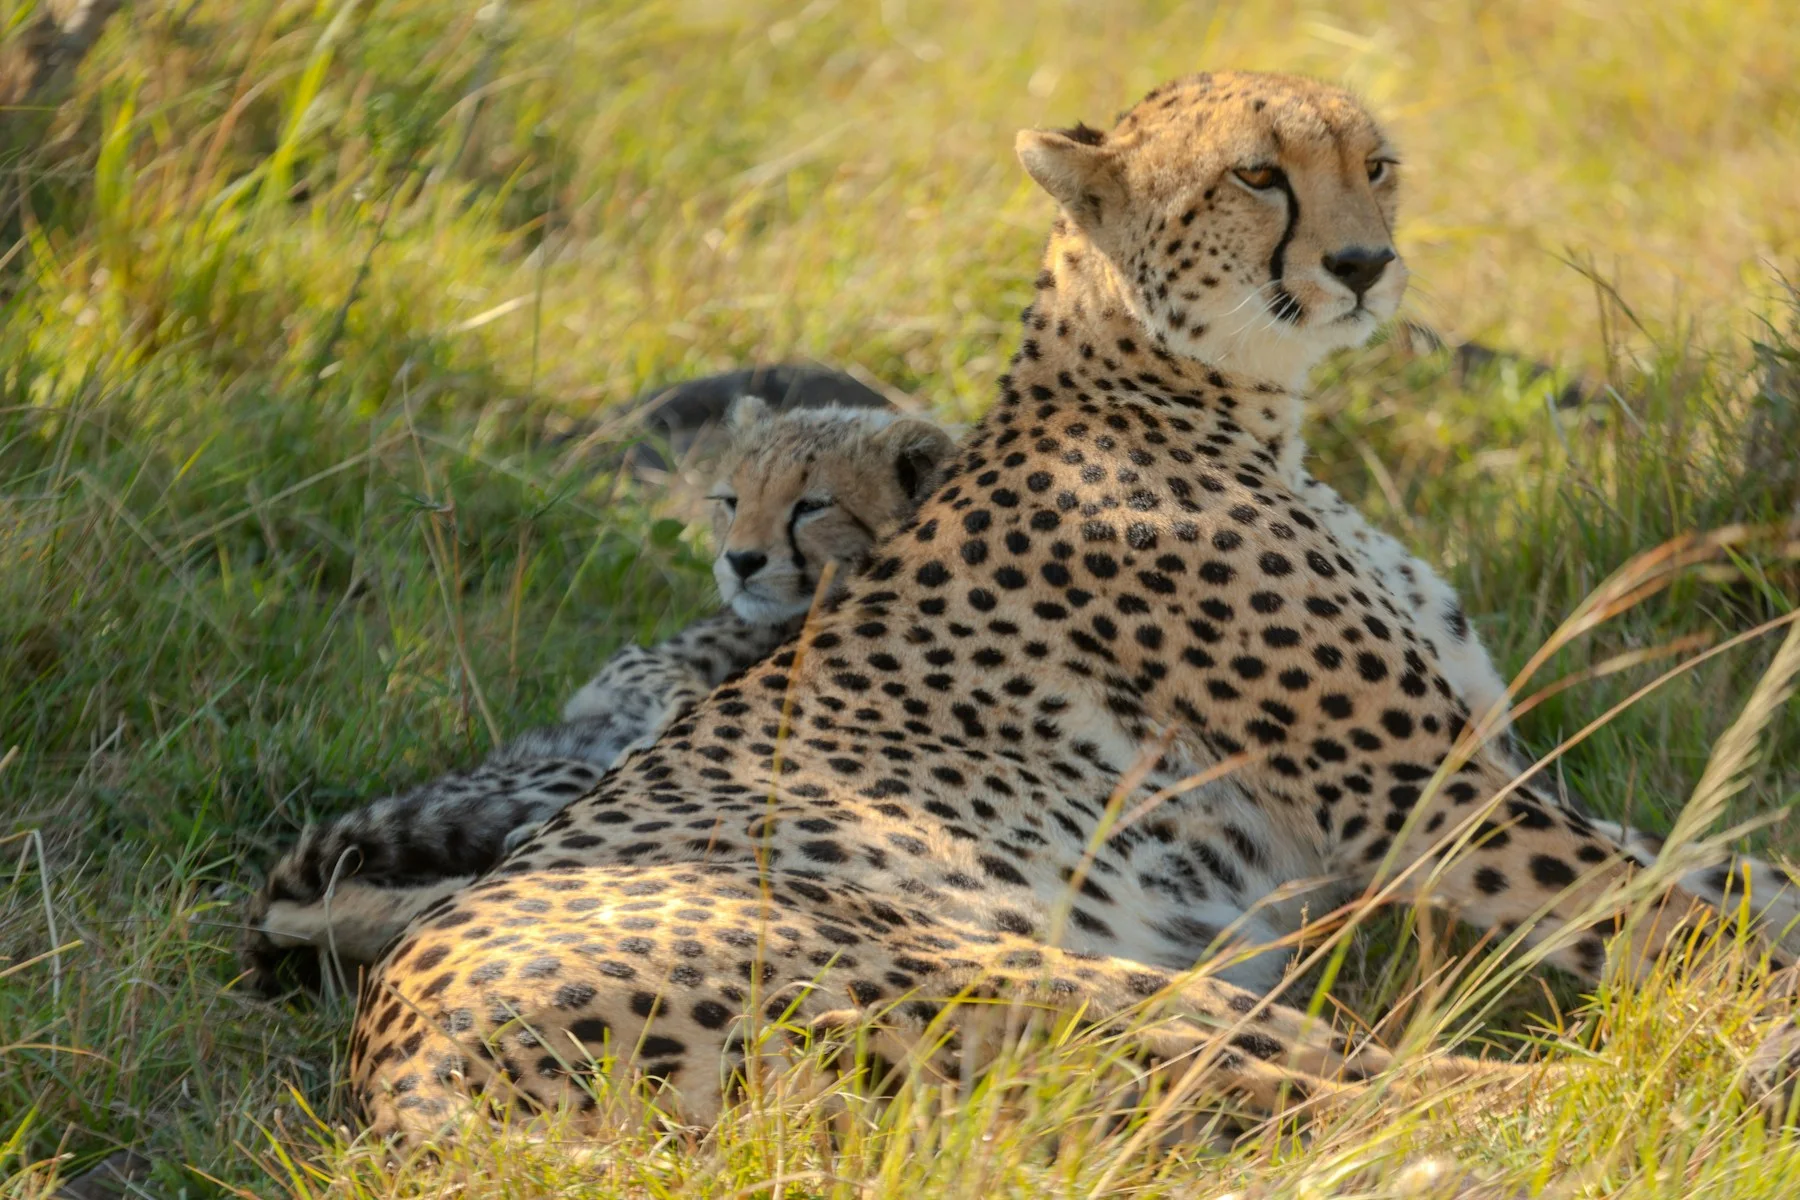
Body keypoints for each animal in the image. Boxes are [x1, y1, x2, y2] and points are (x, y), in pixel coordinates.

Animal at [338, 71, 1800, 1149]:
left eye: (1376, 163)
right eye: (1258, 174)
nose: (1364, 263)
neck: (1223, 404)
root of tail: (394, 1056)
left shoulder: (1477, 779)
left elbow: (1735, 872)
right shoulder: (1431, 801)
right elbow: (1679, 913)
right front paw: (1755, 1004)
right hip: (1011, 970)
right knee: (1364, 1096)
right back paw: (1666, 1092)